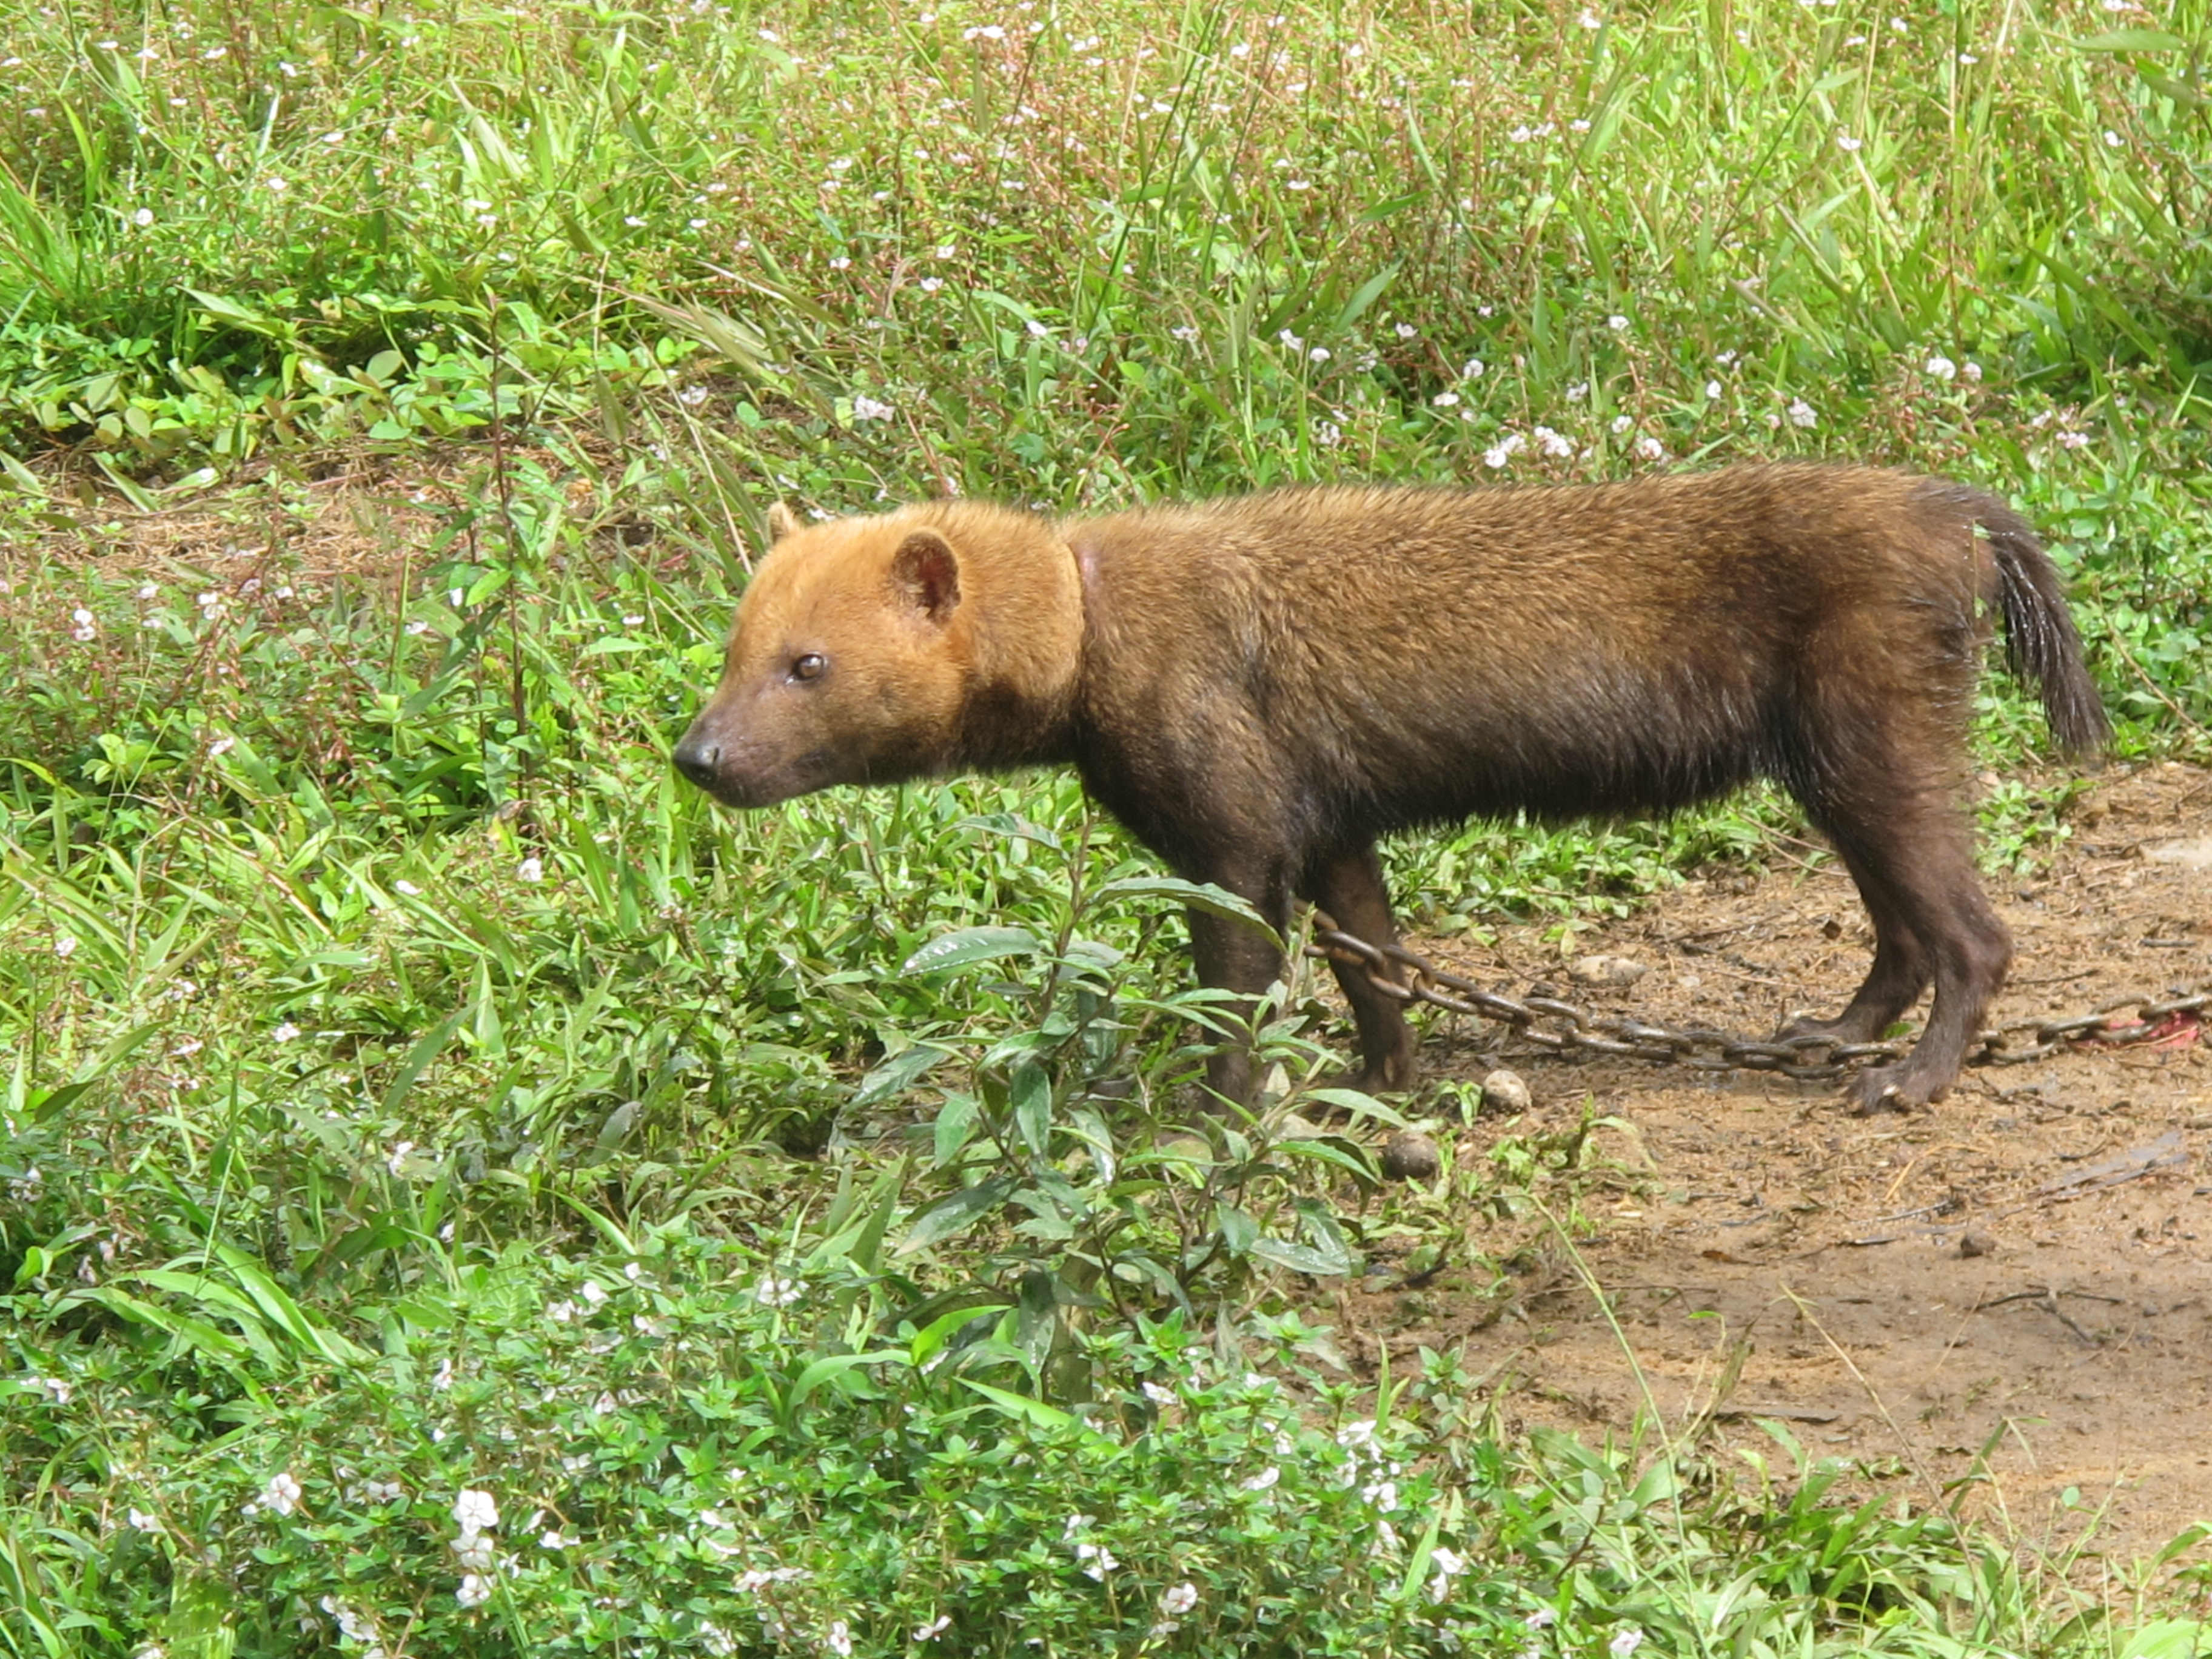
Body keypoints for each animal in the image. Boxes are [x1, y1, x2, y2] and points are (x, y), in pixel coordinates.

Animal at [672, 469, 2105, 1119]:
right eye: (731, 646)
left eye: (809, 665)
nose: (696, 757)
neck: (1101, 626)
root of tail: (1947, 507)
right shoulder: (1330, 821)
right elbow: (1372, 956)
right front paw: (1390, 1080)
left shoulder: (1232, 823)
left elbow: (1240, 983)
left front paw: (1219, 1112)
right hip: (1839, 761)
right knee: (1901, 932)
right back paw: (1827, 1032)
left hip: (1873, 732)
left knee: (1973, 934)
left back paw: (1905, 1080)